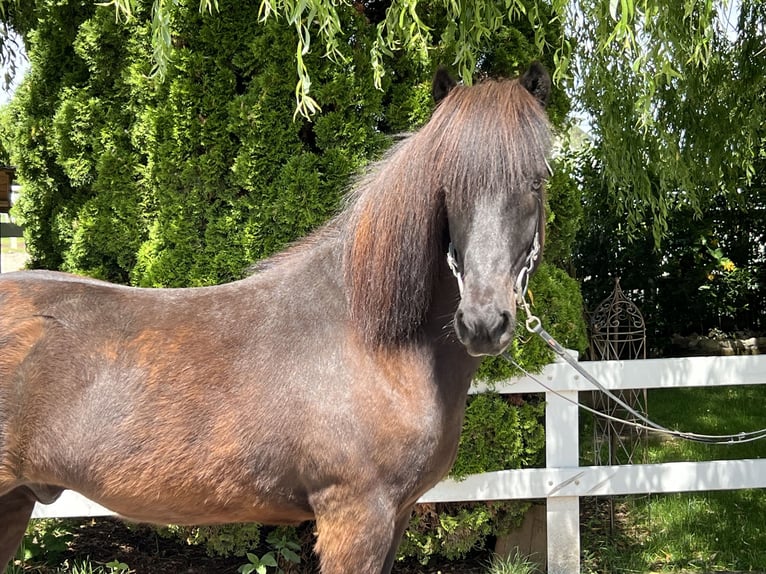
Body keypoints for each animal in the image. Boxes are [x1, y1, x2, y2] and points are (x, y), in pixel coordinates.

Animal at [0, 64, 552, 574]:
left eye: (537, 180)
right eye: (448, 186)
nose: (484, 322)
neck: (374, 343)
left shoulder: (394, 516)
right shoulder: (357, 517)